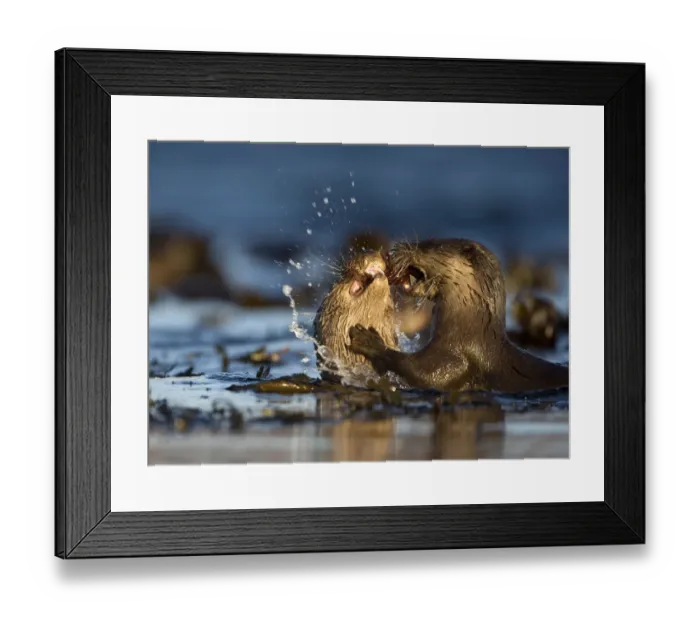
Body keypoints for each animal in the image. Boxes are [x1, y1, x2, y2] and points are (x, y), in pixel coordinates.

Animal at [348, 239, 569, 393]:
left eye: (428, 244)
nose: (394, 249)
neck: (469, 328)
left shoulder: (455, 360)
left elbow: (419, 371)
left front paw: (369, 340)